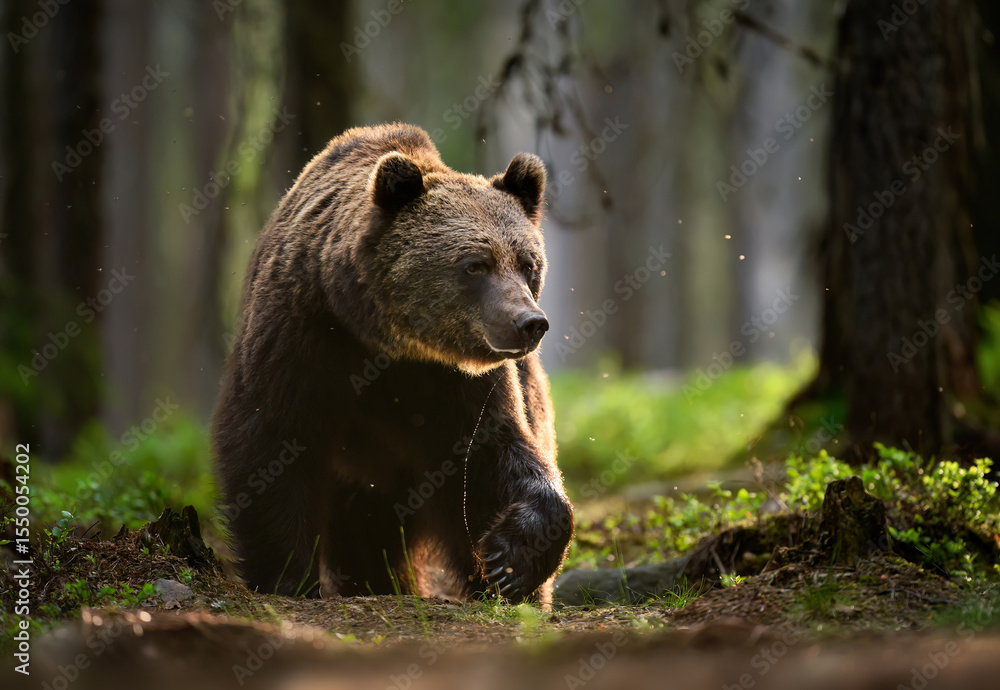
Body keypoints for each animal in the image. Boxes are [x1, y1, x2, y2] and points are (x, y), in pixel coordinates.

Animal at [212, 123, 573, 604]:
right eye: (475, 264)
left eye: (527, 263)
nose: (529, 322)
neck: (389, 342)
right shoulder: (300, 337)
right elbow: (270, 441)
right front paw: (287, 576)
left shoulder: (461, 384)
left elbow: (492, 453)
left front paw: (508, 563)